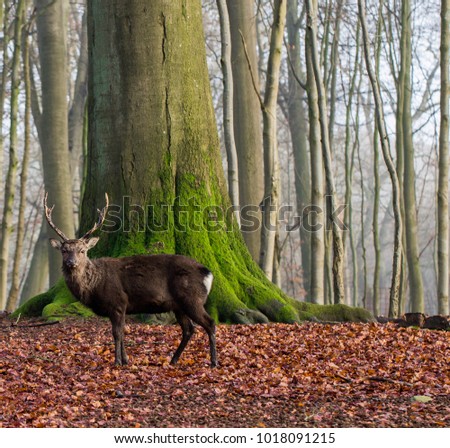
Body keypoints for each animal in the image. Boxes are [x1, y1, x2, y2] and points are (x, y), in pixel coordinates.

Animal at [43, 192, 217, 368]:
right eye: (64, 250)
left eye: (82, 250)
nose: (71, 263)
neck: (94, 285)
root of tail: (208, 273)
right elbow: (121, 332)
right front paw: (126, 360)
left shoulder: (118, 302)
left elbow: (117, 333)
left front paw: (118, 361)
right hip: (178, 305)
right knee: (189, 329)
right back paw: (173, 360)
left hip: (192, 298)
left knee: (209, 323)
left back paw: (213, 361)